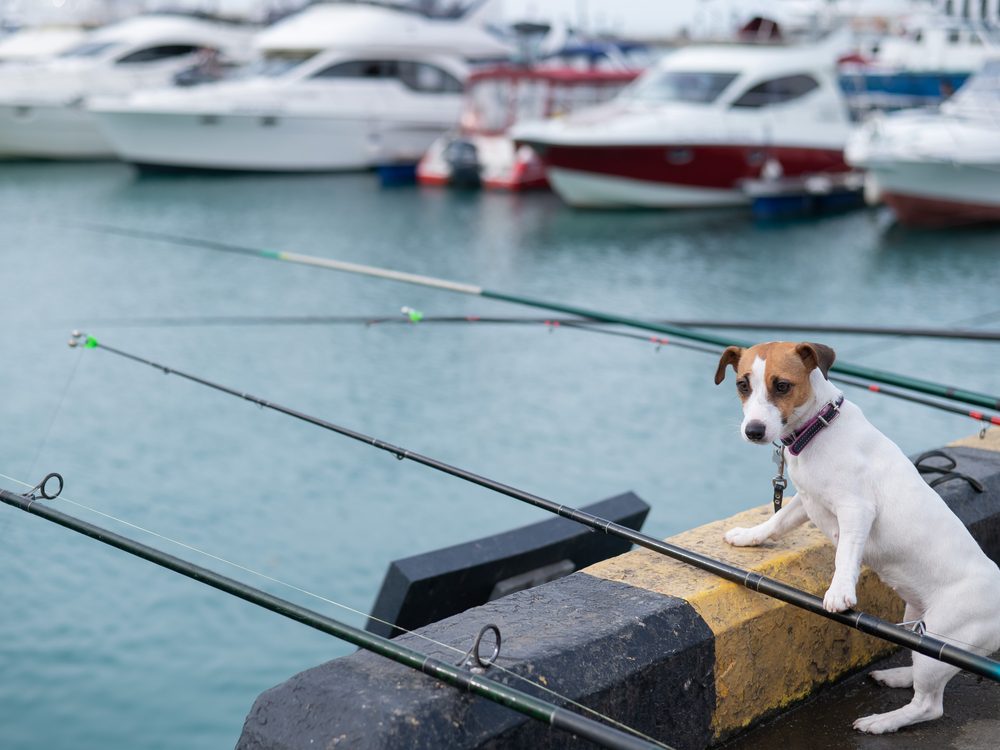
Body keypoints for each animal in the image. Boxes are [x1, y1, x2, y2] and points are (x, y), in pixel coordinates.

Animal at [716, 344, 996, 736]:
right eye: (742, 385)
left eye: (782, 385)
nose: (753, 431)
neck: (818, 428)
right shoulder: (807, 500)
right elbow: (777, 522)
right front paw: (749, 536)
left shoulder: (856, 509)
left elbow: (844, 556)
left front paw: (839, 593)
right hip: (919, 624)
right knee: (919, 671)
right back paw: (898, 676)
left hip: (944, 635)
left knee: (929, 705)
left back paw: (882, 721)